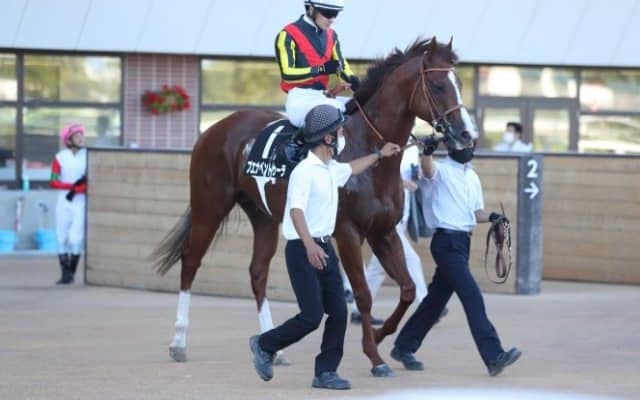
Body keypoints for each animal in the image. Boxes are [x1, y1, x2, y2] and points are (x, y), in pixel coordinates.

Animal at [152, 37, 475, 377]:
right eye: (438, 85)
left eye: (459, 83)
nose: (465, 134)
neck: (367, 149)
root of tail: (215, 129)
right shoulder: (348, 233)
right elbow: (362, 295)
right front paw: (374, 356)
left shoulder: (384, 233)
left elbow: (408, 290)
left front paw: (379, 334)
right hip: (209, 206)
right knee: (190, 261)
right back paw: (178, 342)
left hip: (263, 217)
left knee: (257, 273)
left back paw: (274, 350)